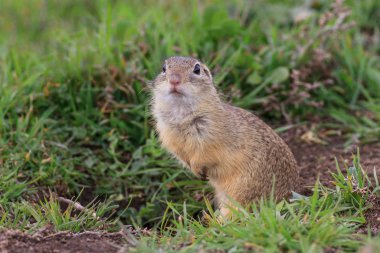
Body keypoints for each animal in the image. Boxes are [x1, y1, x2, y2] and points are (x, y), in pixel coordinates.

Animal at [150, 55, 298, 215]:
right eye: (164, 68)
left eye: (197, 69)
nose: (174, 80)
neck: (181, 115)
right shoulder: (170, 137)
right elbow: (182, 156)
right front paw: (195, 171)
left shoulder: (210, 139)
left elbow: (204, 154)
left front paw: (198, 169)